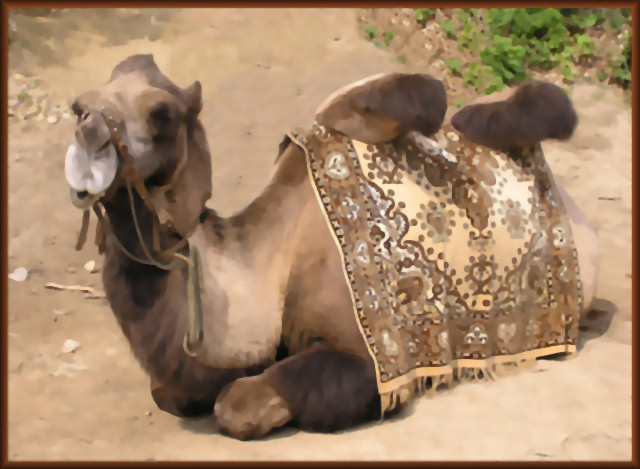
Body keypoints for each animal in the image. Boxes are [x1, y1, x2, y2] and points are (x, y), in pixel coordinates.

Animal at [63, 54, 598, 440]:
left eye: (163, 114)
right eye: (78, 107)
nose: (89, 136)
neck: (269, 264)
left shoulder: (363, 358)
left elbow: (238, 404)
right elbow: (169, 392)